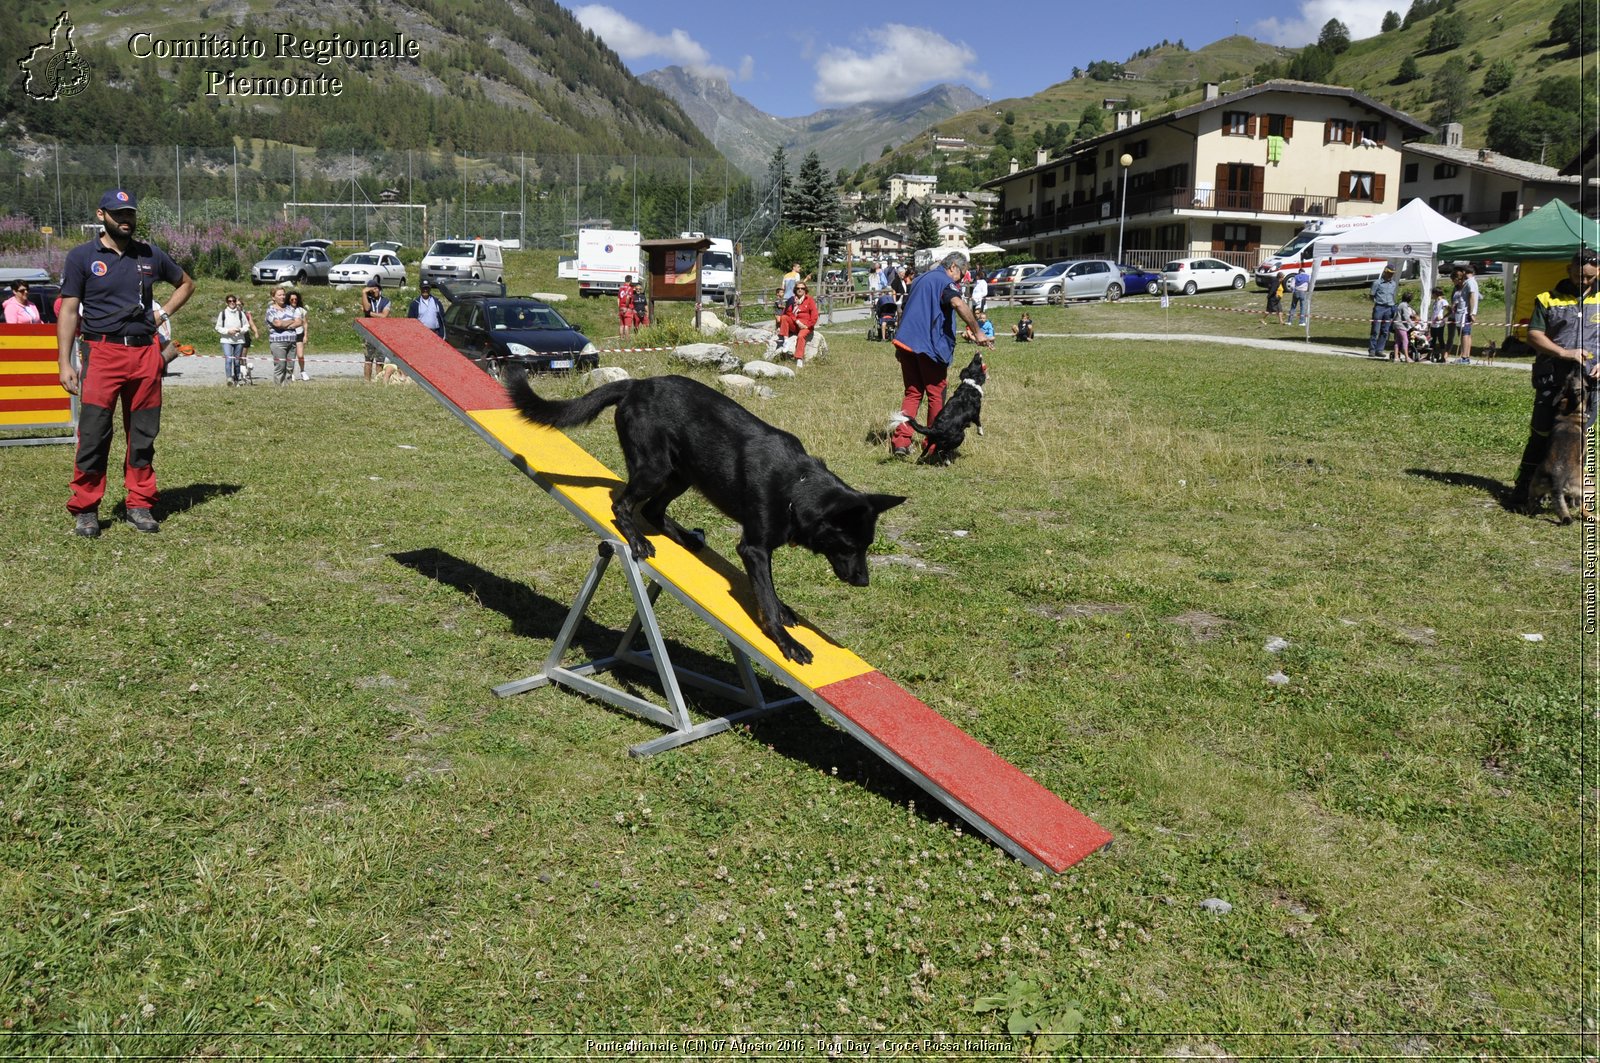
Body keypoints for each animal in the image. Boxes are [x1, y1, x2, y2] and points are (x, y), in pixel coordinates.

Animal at [505, 371, 908, 656]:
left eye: (867, 546)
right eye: (849, 545)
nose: (864, 582)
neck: (797, 485)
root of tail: (637, 384)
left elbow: (770, 592)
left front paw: (785, 612)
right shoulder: (754, 549)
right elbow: (765, 597)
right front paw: (784, 639)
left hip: (683, 473)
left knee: (653, 510)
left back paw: (684, 537)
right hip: (655, 468)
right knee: (622, 505)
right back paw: (636, 539)